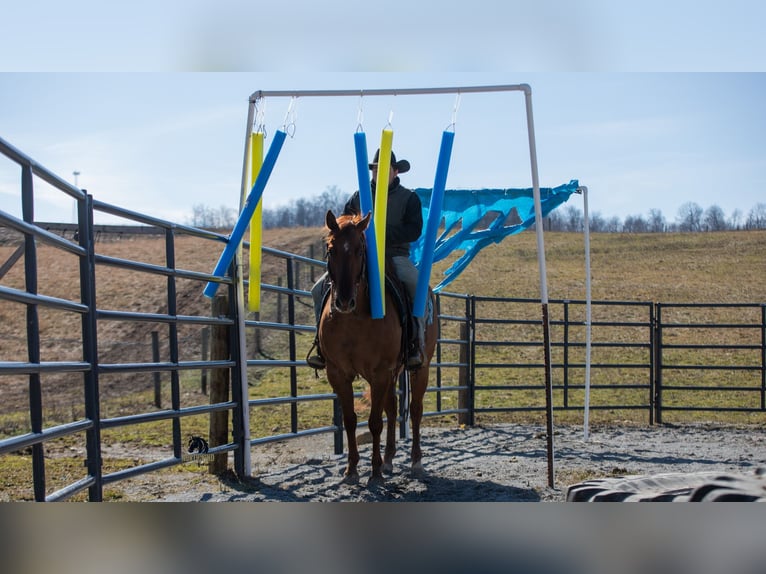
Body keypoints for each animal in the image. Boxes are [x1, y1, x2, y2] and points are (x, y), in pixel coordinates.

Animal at [317, 210, 437, 485]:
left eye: (360, 250)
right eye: (331, 249)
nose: (343, 301)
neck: (353, 319)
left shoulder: (380, 372)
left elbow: (374, 422)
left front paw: (374, 472)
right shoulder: (338, 373)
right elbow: (351, 420)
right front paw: (352, 470)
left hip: (420, 368)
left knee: (415, 410)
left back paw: (415, 462)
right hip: (393, 373)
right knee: (392, 409)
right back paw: (390, 460)